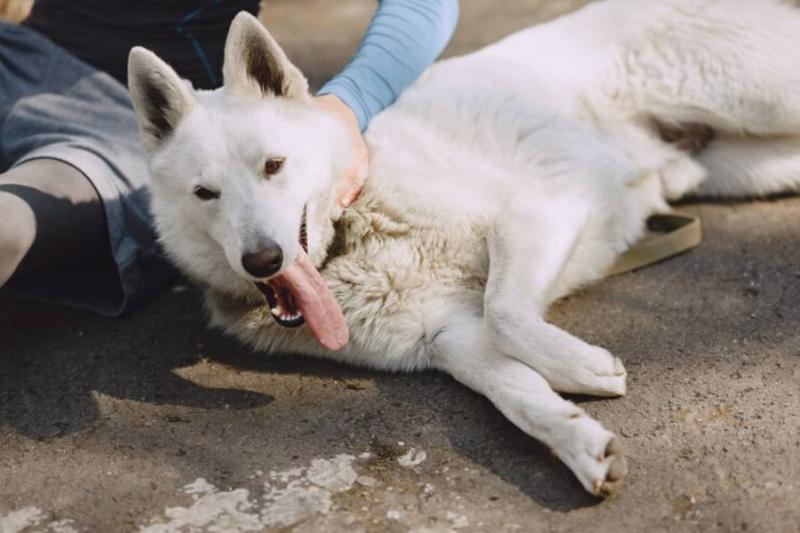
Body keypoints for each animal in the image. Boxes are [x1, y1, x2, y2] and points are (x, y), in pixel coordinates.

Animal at [125, 2, 800, 496]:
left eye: (273, 165)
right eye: (205, 193)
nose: (262, 261)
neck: (356, 229)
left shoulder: (536, 210)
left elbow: (506, 312)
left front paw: (584, 367)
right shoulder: (451, 338)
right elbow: (517, 396)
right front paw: (584, 445)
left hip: (766, 100)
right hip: (753, 166)